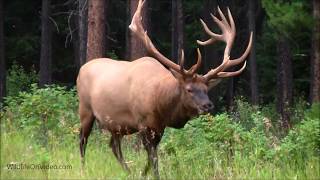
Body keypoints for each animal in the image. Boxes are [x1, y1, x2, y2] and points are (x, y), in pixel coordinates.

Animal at [77, 0, 252, 178]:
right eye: (189, 89)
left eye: (206, 89)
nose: (207, 105)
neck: (160, 105)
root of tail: (82, 68)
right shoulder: (143, 124)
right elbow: (153, 158)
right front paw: (153, 175)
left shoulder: (159, 128)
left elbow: (150, 158)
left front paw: (141, 174)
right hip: (86, 109)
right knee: (82, 140)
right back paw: (83, 169)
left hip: (116, 125)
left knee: (113, 146)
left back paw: (128, 171)